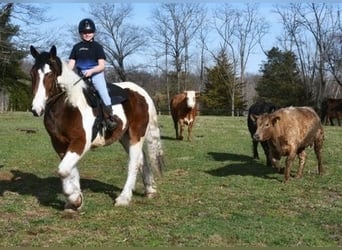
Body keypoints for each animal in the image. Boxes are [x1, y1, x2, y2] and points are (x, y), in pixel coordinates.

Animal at [29, 45, 163, 211]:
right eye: (32, 73)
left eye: (50, 74)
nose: (36, 109)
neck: (68, 105)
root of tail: (141, 92)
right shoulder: (59, 143)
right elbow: (70, 171)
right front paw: (75, 200)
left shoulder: (81, 142)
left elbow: (63, 170)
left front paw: (74, 198)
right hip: (125, 137)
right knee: (141, 159)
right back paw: (150, 189)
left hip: (136, 135)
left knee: (134, 163)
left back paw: (124, 198)